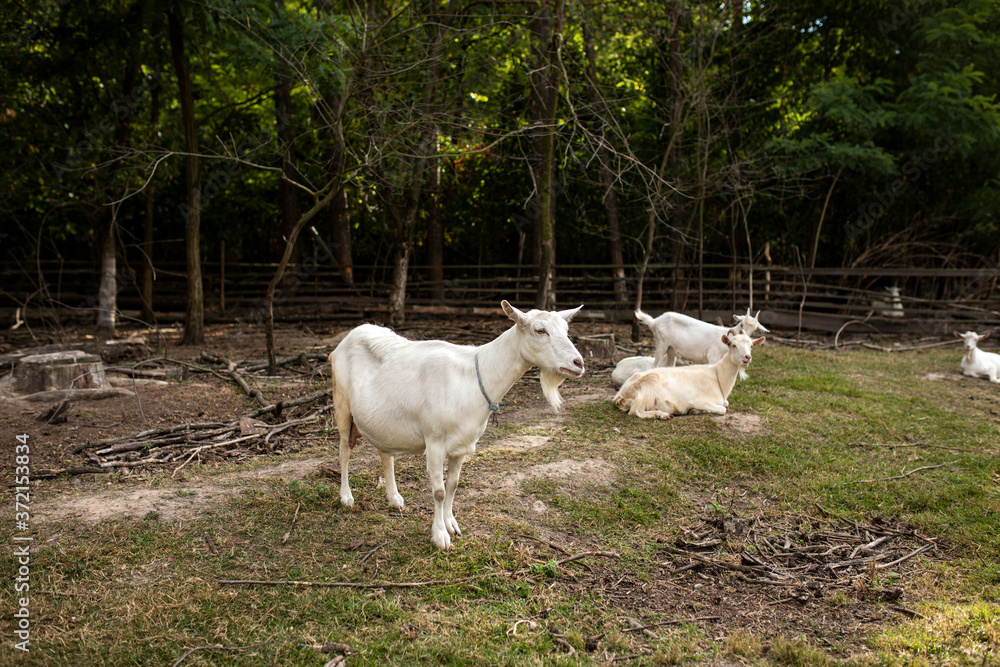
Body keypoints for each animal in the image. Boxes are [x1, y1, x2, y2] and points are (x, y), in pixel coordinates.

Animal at [329, 300, 585, 550]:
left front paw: (451, 524)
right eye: (540, 330)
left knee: (385, 455)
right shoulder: (434, 442)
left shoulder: (462, 444)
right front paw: (440, 536)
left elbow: (453, 485)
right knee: (344, 452)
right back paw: (346, 497)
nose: (578, 363)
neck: (473, 378)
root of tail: (346, 339)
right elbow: (439, 492)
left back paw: (394, 499)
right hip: (342, 405)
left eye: (566, 330)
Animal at [611, 308, 769, 388]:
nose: (747, 356)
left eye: (755, 329)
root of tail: (654, 321)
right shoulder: (712, 355)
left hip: (671, 350)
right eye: (741, 324)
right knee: (655, 365)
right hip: (661, 343)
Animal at [614, 331, 765, 419]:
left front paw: (695, 411)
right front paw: (695, 410)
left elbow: (725, 404)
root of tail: (620, 395)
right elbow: (722, 409)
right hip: (647, 388)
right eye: (733, 345)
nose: (747, 357)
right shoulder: (699, 400)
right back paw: (662, 414)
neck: (717, 376)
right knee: (635, 411)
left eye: (751, 346)